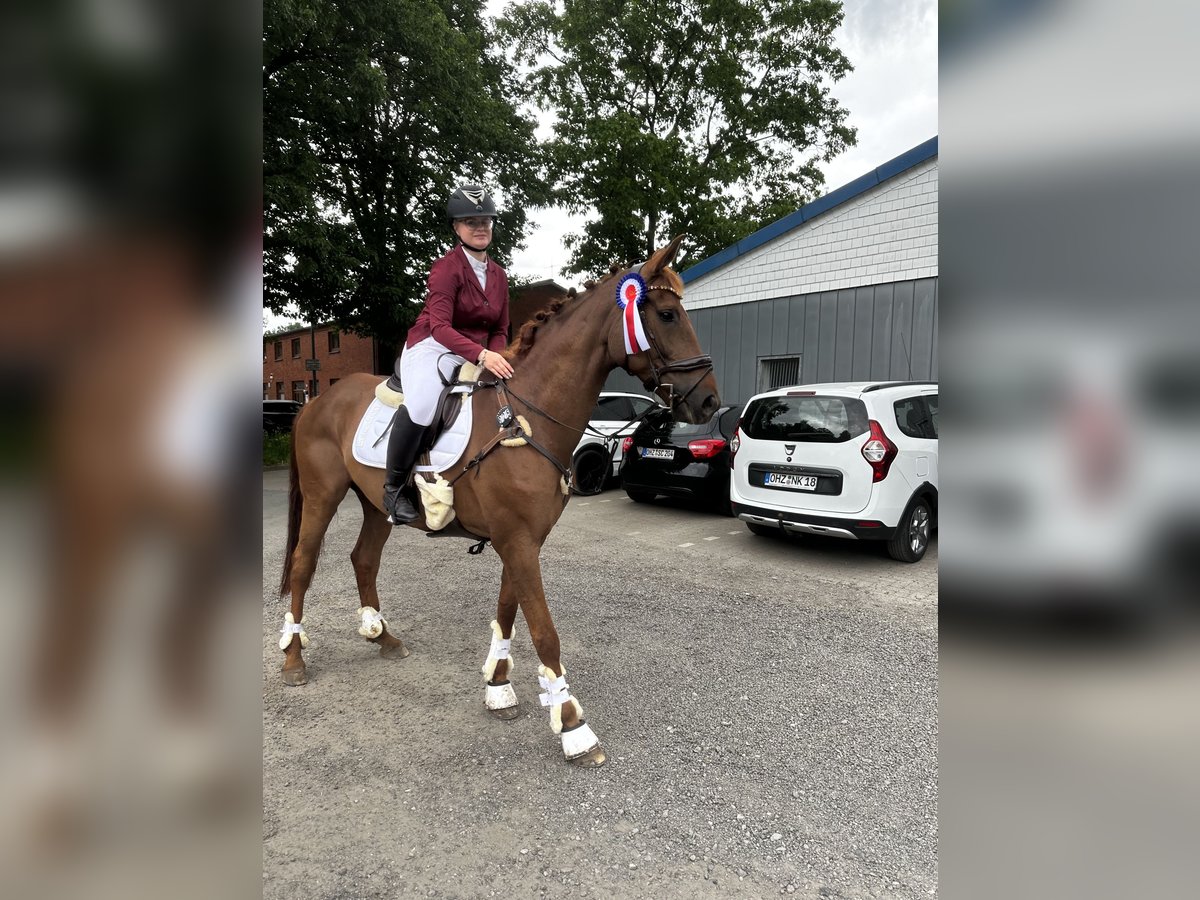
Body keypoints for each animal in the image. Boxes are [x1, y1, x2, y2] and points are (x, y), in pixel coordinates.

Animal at [276, 240, 715, 768]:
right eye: (667, 315)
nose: (709, 403)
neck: (525, 416)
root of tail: (316, 400)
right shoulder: (518, 541)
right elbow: (544, 630)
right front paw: (573, 726)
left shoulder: (522, 540)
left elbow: (508, 610)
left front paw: (499, 687)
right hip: (323, 496)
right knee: (303, 564)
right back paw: (294, 658)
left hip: (375, 504)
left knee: (363, 559)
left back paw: (383, 637)